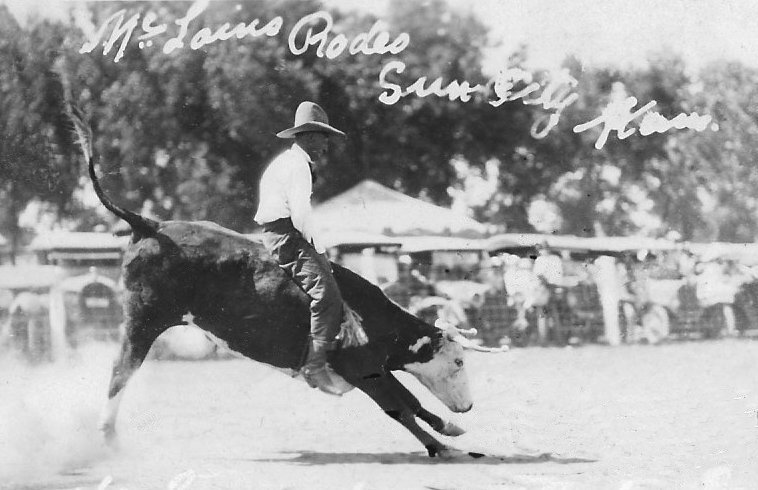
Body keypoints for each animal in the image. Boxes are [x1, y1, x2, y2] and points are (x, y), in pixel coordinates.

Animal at [68, 105, 508, 458]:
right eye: (458, 362)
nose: (468, 406)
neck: (368, 316)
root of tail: (151, 224)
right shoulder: (361, 367)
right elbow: (400, 406)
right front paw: (443, 445)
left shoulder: (373, 367)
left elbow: (410, 401)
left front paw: (451, 428)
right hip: (143, 321)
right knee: (121, 371)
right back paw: (108, 437)